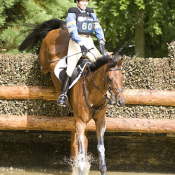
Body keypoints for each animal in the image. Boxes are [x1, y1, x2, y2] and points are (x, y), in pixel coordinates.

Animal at [18, 18, 126, 174]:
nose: (121, 101)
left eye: (122, 77)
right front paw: (80, 168)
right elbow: (80, 150)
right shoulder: (80, 122)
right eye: (110, 79)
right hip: (44, 64)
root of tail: (60, 29)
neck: (93, 92)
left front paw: (103, 169)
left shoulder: (101, 121)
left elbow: (101, 147)